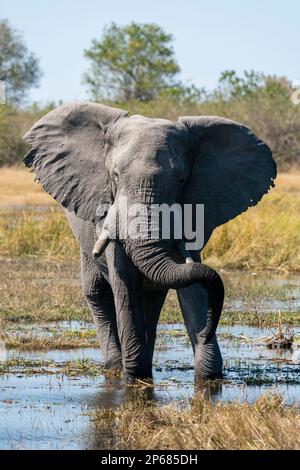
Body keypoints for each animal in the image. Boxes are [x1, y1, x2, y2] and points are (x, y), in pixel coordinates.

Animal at [22, 102, 276, 382]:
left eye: (181, 180)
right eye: (115, 175)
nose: (208, 331)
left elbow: (190, 282)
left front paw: (209, 377)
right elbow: (124, 283)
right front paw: (135, 376)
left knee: (153, 296)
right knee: (97, 291)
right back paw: (115, 366)